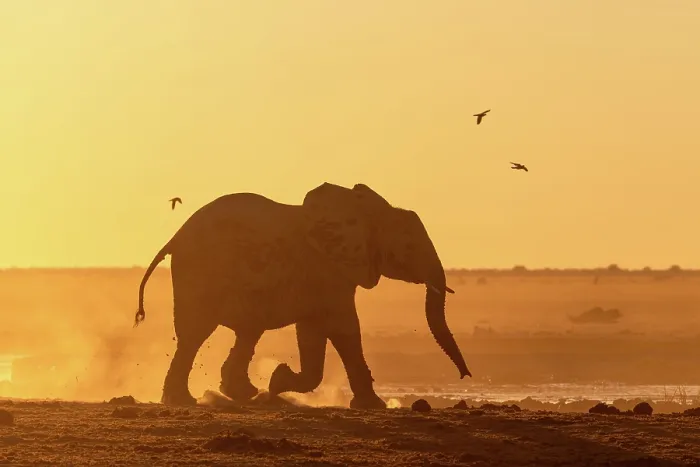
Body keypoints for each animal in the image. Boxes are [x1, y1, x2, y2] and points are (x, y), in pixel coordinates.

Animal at [134, 182, 471, 409]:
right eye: (409, 246)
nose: (465, 376)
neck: (365, 211)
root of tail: (174, 238)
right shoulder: (328, 269)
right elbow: (344, 328)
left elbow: (313, 330)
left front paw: (277, 380)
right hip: (199, 272)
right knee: (196, 334)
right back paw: (184, 400)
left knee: (246, 331)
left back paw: (243, 394)